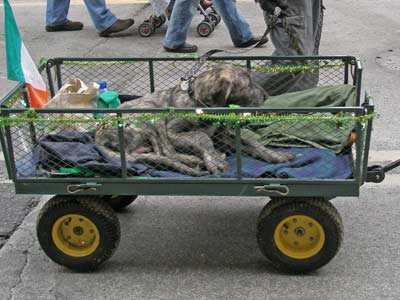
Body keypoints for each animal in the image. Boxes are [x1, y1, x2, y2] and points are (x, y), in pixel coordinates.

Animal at [94, 63, 294, 176]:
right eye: (248, 84)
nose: (266, 96)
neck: (199, 102)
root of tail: (97, 136)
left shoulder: (221, 136)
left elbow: (250, 142)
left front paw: (275, 155)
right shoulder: (172, 132)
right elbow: (201, 137)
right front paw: (215, 161)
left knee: (155, 154)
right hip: (150, 113)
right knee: (167, 152)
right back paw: (194, 160)